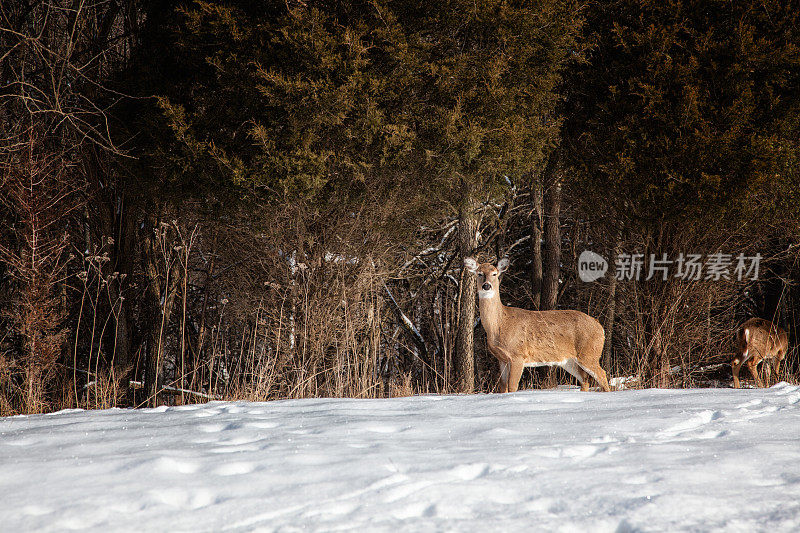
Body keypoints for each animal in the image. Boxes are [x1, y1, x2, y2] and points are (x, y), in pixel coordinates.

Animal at [466, 256, 608, 392]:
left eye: (494, 274)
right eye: (479, 273)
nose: (486, 286)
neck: (500, 325)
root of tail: (600, 328)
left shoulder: (518, 355)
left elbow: (512, 387)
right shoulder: (502, 359)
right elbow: (502, 388)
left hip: (589, 352)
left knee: (602, 374)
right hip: (568, 360)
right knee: (584, 378)